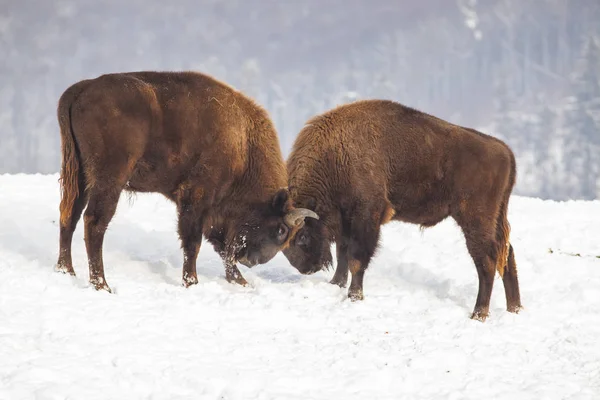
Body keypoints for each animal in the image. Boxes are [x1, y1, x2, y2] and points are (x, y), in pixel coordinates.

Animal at [56, 70, 318, 292]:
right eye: (282, 230)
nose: (252, 261)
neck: (243, 143)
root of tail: (83, 87)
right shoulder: (197, 198)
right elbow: (194, 243)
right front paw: (192, 282)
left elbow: (220, 247)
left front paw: (240, 282)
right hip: (110, 179)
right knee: (94, 222)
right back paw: (101, 284)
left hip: (79, 175)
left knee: (69, 215)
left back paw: (66, 271)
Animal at [284, 100, 524, 322]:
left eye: (302, 236)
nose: (307, 268)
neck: (336, 153)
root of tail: (504, 150)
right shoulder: (345, 220)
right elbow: (342, 253)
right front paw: (336, 284)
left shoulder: (366, 216)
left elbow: (356, 259)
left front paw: (354, 296)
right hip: (496, 217)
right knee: (507, 254)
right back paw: (514, 309)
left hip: (475, 219)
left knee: (487, 259)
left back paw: (479, 314)